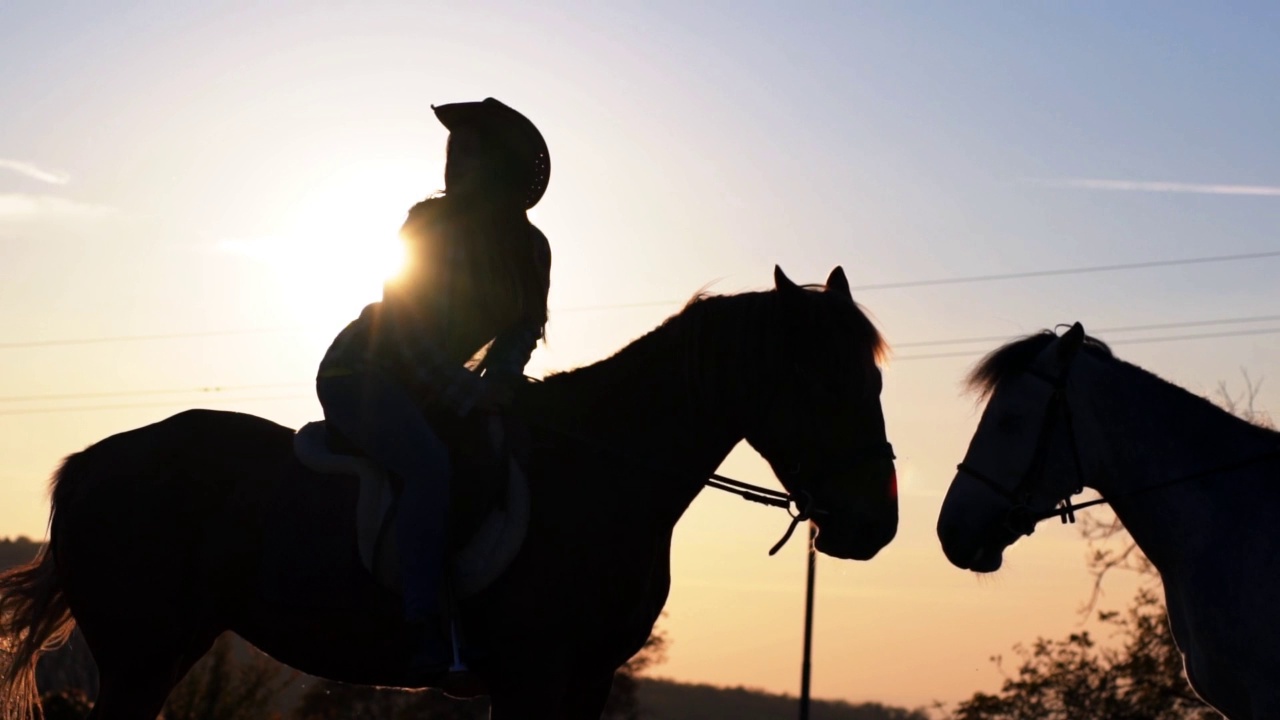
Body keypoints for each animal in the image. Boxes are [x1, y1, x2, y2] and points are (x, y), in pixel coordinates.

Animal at [2, 265, 901, 717]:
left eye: (877, 380)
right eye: (823, 383)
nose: (876, 526)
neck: (604, 472)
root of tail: (90, 461)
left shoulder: (586, 681)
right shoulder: (533, 679)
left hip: (163, 649)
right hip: (137, 654)